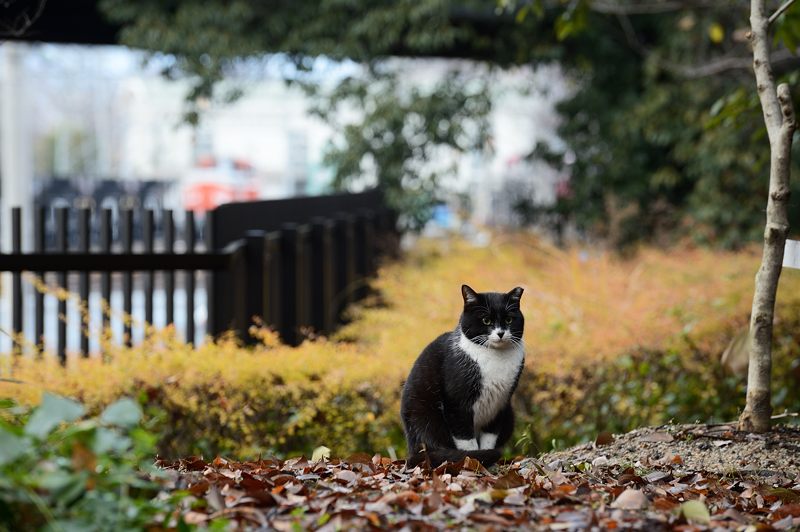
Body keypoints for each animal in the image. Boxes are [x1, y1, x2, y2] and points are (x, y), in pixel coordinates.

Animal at [400, 284, 524, 468]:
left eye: (509, 320)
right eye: (486, 321)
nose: (501, 333)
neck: (496, 357)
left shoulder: (500, 402)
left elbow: (490, 437)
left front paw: (485, 458)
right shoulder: (456, 403)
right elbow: (467, 441)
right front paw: (472, 461)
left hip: (509, 415)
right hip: (424, 418)